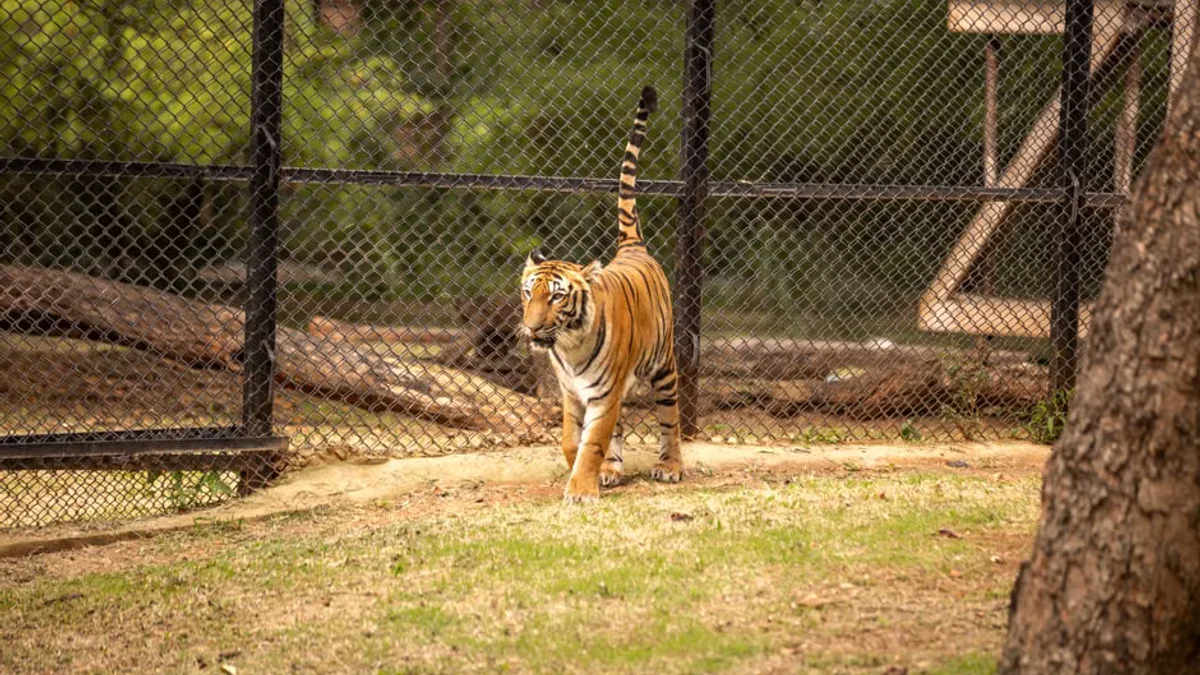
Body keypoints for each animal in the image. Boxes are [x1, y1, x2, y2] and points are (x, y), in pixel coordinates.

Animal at [521, 85, 683, 504]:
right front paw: (590, 469)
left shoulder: (603, 393)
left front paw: (581, 489)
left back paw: (671, 466)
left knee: (670, 418)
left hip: (664, 366)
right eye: (528, 293)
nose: (531, 329)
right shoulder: (572, 393)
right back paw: (612, 470)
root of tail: (632, 247)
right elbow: (571, 441)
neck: (568, 345)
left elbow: (592, 442)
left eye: (556, 298)